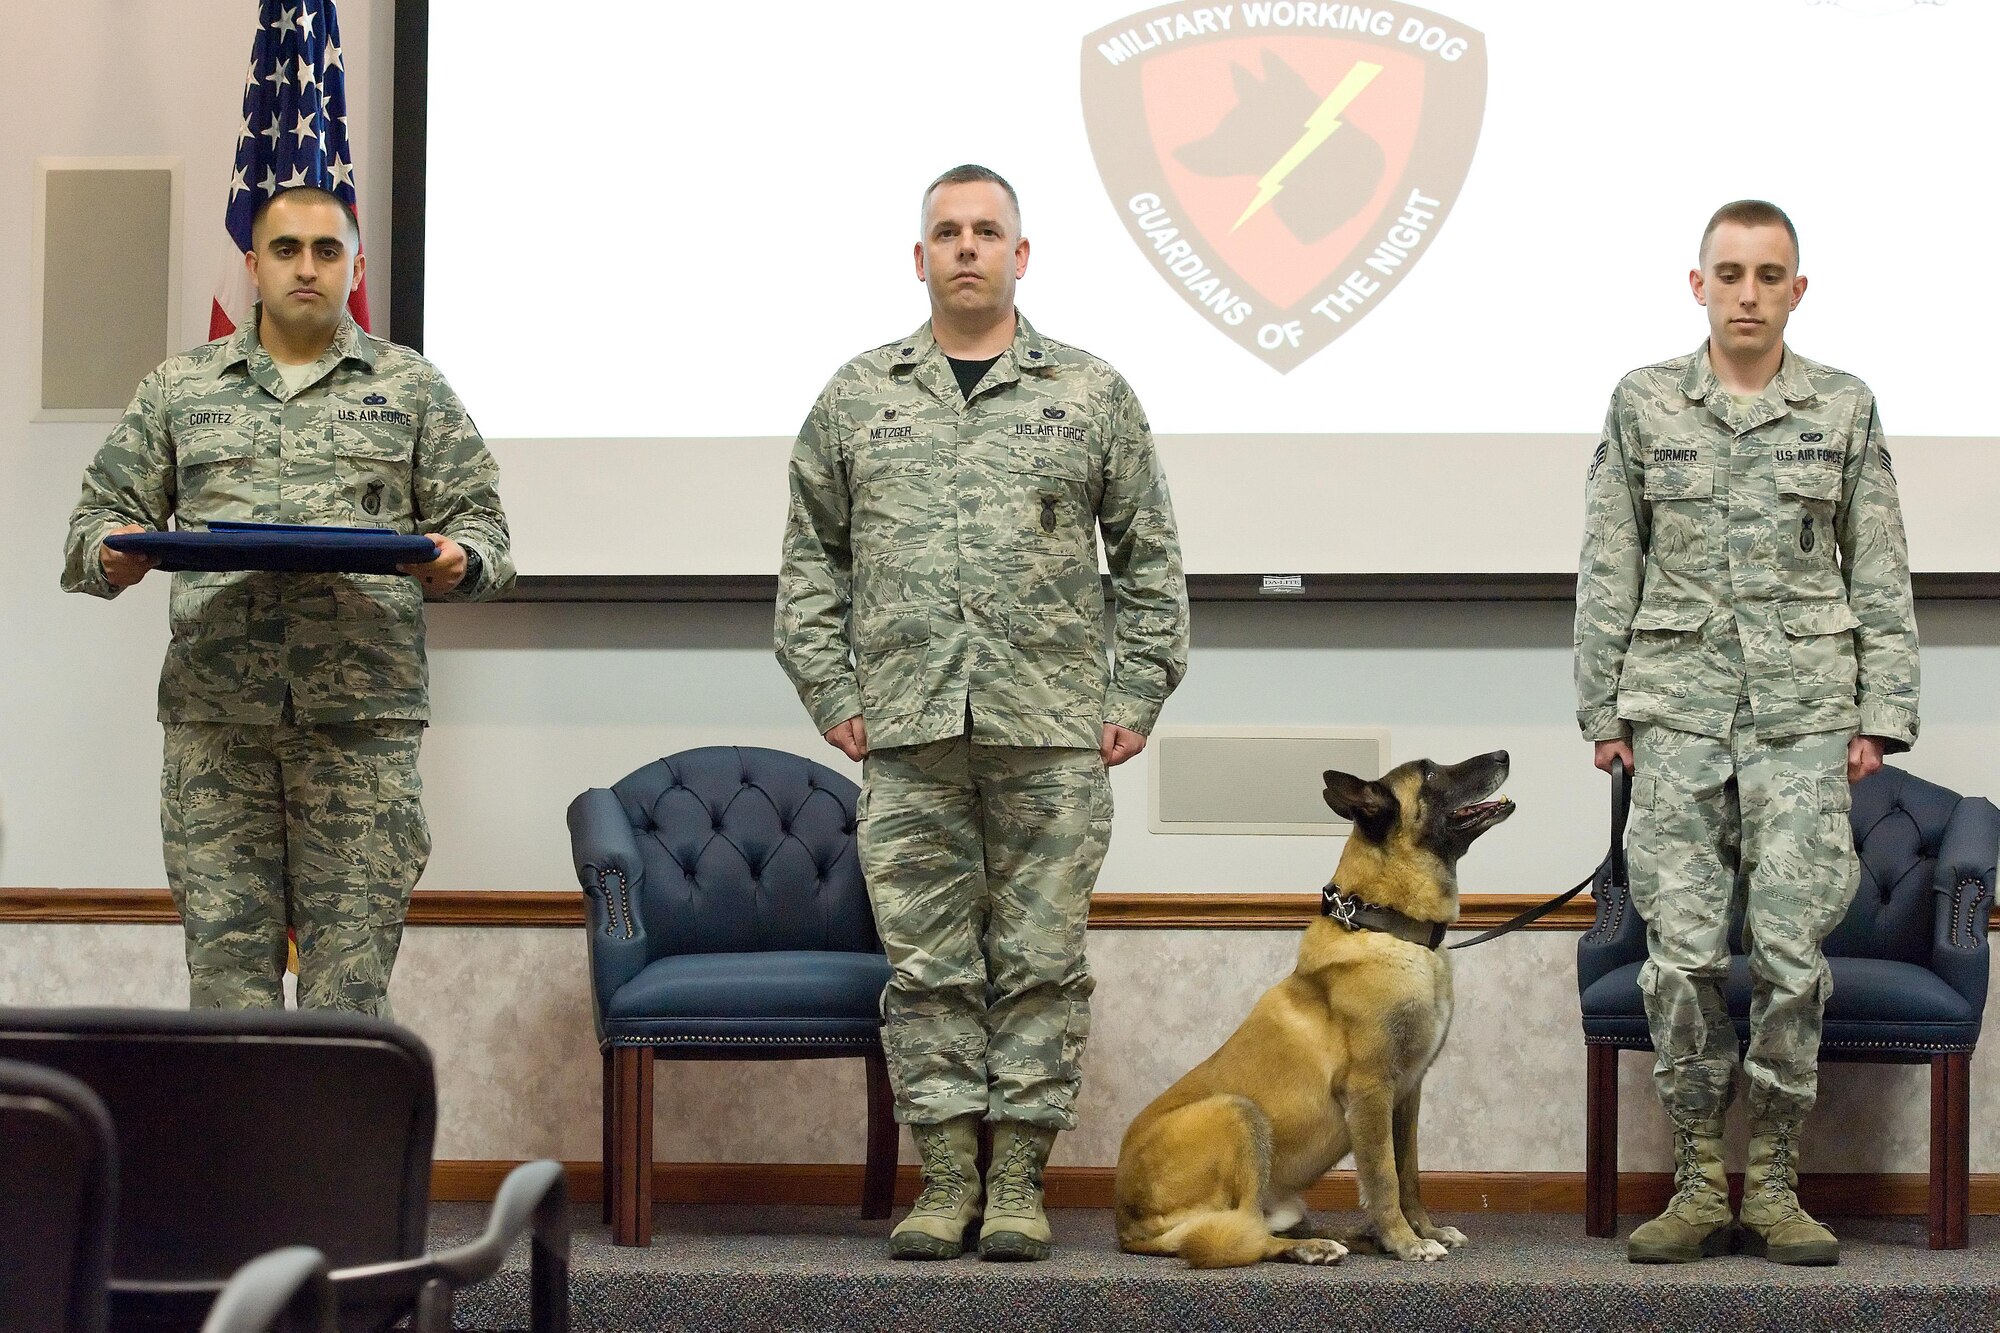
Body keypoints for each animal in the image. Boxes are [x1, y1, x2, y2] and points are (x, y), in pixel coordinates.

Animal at [1112, 752, 1512, 1264]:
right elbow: (1383, 1178)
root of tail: (1126, 1225)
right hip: (1239, 1113)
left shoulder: (1407, 1094)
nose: (1503, 754)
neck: (1386, 926)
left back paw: (1348, 1237)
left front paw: (1424, 1229)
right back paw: (1317, 1246)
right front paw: (1405, 1241)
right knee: (1247, 1235)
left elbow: (1409, 1175)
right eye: (1429, 772)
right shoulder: (1370, 1090)